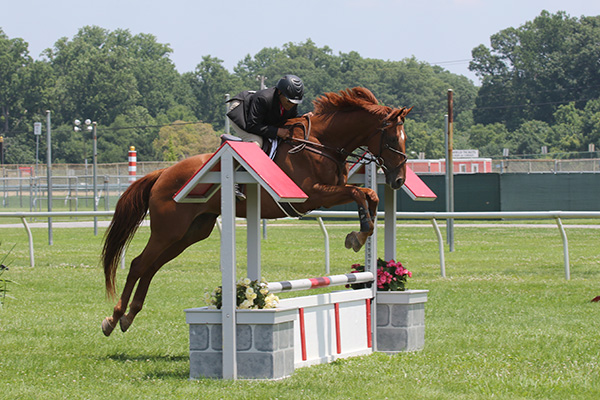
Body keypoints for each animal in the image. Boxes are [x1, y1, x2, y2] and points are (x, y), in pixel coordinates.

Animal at [102, 86, 412, 336]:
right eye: (392, 140)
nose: (398, 180)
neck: (321, 144)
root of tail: (163, 173)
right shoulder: (312, 196)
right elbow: (359, 193)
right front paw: (357, 237)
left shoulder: (328, 192)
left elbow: (370, 195)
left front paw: (359, 235)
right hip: (168, 230)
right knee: (139, 264)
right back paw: (113, 319)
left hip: (190, 233)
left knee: (152, 266)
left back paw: (128, 317)